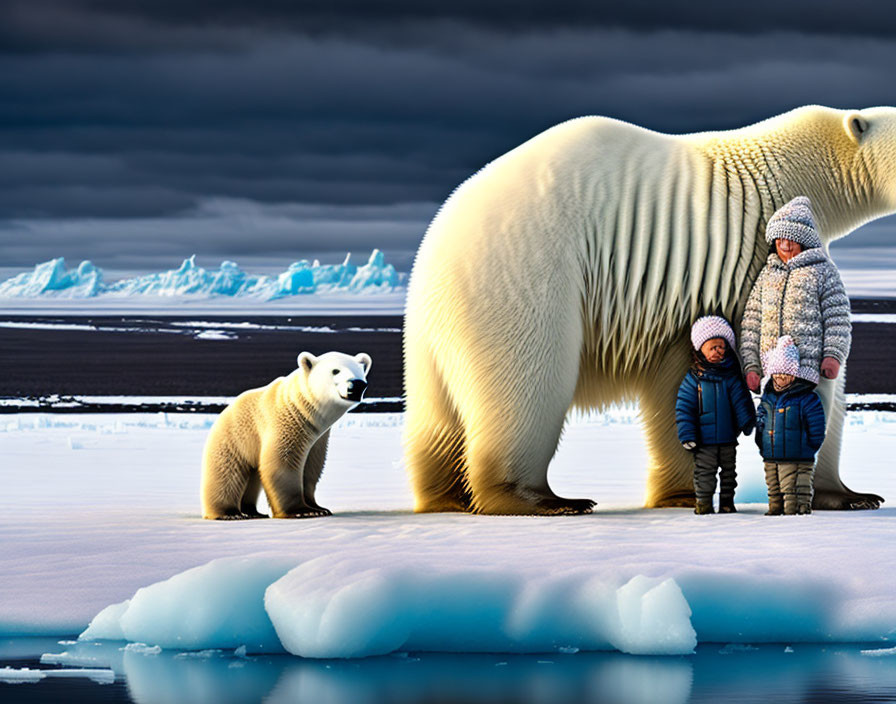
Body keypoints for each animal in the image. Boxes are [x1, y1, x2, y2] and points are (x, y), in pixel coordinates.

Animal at [201, 350, 370, 520]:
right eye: (336, 371)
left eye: (360, 371)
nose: (357, 384)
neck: (299, 404)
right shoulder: (285, 424)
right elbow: (283, 463)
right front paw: (303, 511)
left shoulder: (318, 439)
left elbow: (310, 469)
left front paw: (319, 508)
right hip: (233, 440)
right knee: (227, 473)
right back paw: (229, 513)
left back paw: (253, 511)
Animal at [406, 103, 896, 516]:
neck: (786, 173)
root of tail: (439, 237)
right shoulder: (746, 252)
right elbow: (797, 361)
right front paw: (846, 494)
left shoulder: (687, 295)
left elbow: (676, 379)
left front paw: (680, 492)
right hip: (523, 276)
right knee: (526, 382)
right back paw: (546, 500)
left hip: (436, 324)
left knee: (436, 418)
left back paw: (444, 496)